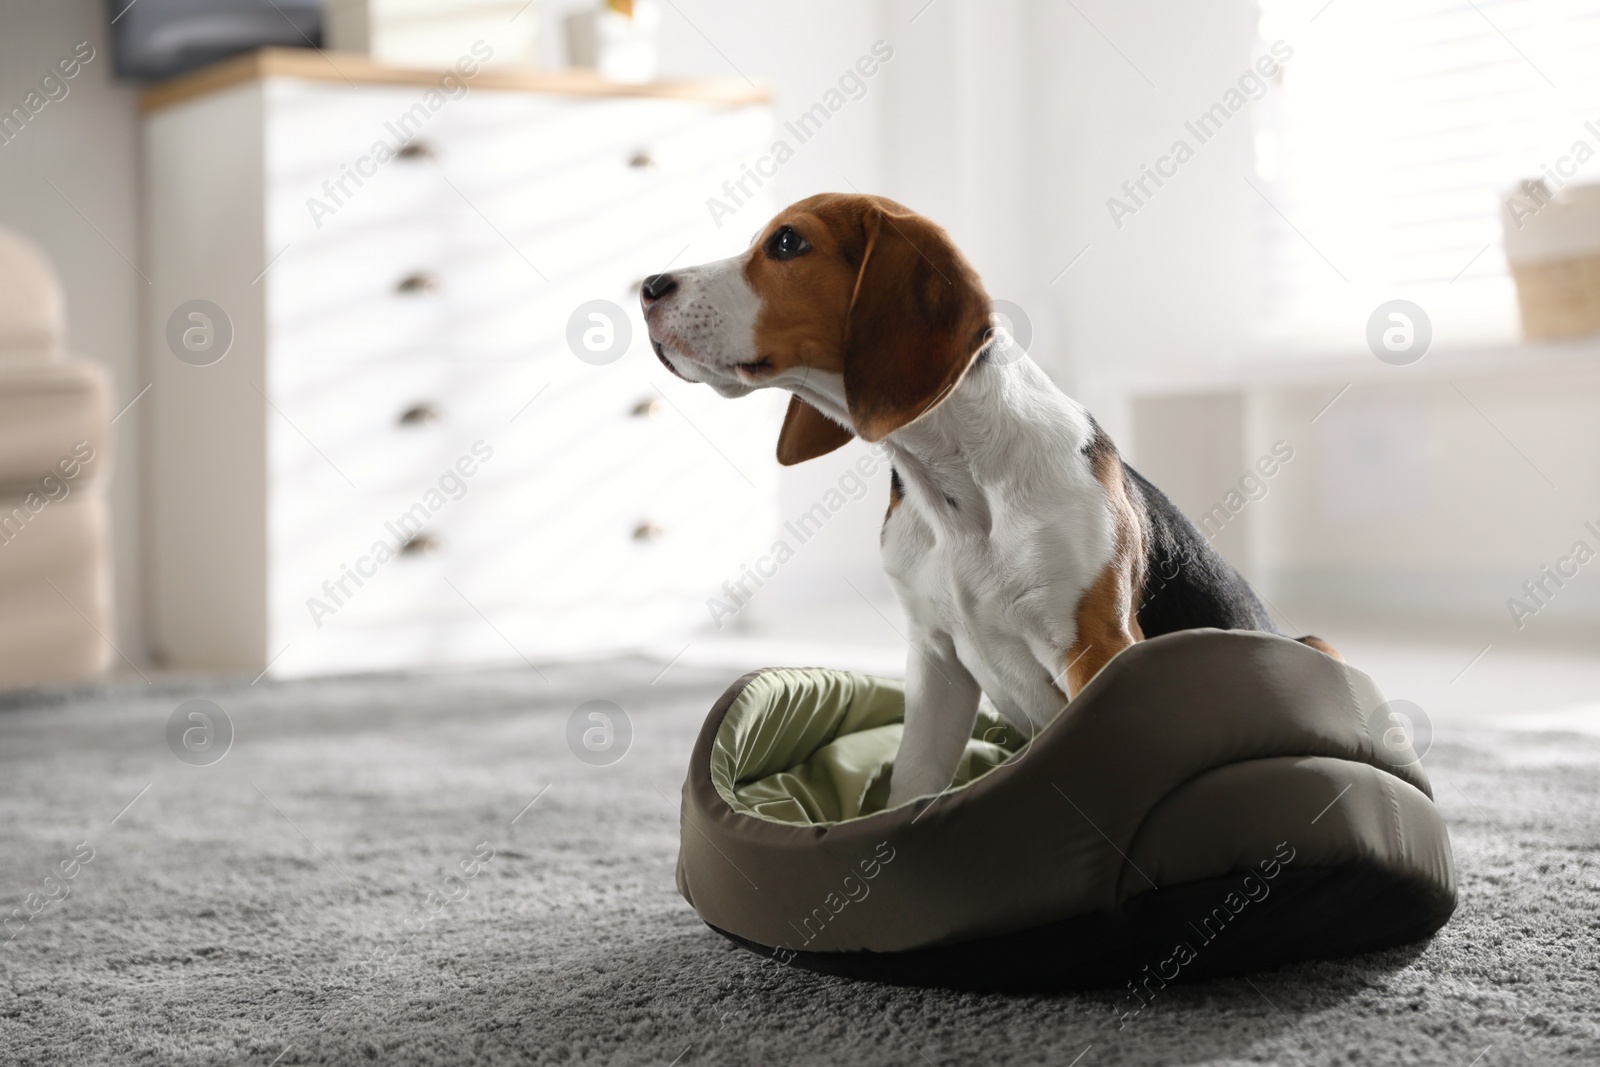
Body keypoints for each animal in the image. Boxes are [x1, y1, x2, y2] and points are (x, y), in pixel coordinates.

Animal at [636, 195, 1337, 806]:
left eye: (787, 243)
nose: (647, 286)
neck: (956, 483)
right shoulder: (936, 661)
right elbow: (912, 784)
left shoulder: (1097, 648)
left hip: (1314, 646)